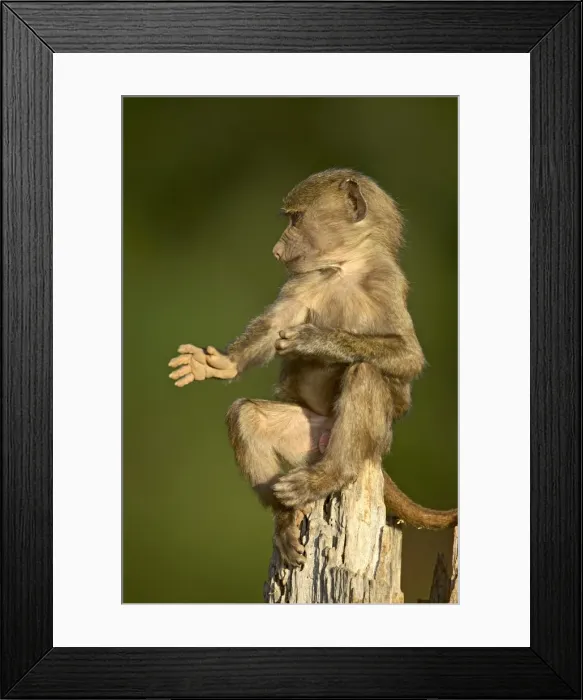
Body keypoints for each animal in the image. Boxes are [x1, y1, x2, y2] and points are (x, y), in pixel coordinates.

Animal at [168, 168, 458, 567]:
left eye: (296, 219)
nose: (276, 250)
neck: (346, 267)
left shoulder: (386, 280)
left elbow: (409, 357)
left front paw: (314, 340)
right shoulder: (306, 279)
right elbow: (275, 326)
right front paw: (217, 363)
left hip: (371, 437)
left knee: (365, 373)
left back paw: (327, 475)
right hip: (308, 434)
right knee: (246, 416)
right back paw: (285, 519)